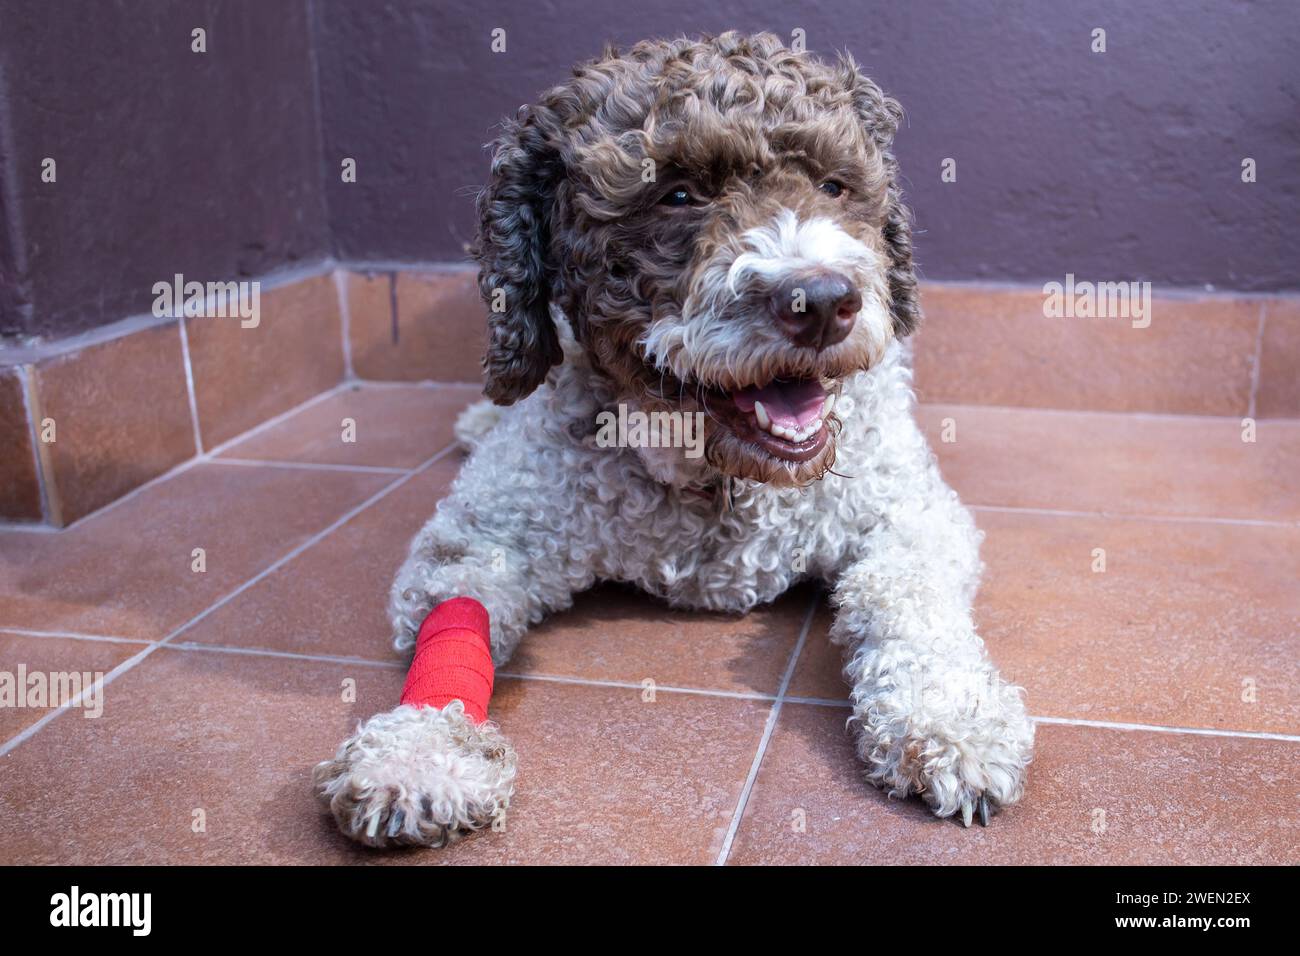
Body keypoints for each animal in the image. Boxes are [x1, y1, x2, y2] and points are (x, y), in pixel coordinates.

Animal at [314, 33, 1034, 848]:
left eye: (834, 184)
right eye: (678, 195)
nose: (822, 302)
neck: (714, 482)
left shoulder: (909, 512)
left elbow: (909, 599)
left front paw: (949, 720)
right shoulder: (487, 528)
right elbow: (453, 612)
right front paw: (421, 749)